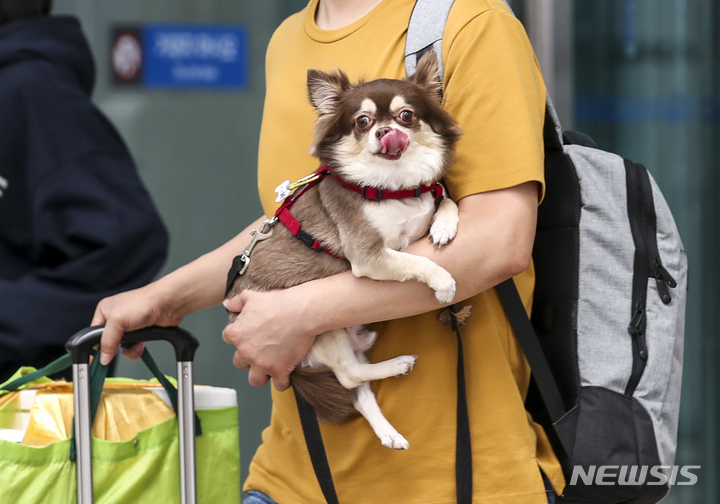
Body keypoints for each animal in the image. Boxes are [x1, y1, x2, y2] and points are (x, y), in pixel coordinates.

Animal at [226, 52, 462, 448]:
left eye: (406, 116)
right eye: (362, 122)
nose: (384, 132)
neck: (393, 187)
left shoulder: (425, 202)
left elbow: (444, 198)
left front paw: (444, 225)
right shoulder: (370, 255)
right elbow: (415, 259)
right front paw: (443, 280)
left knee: (360, 393)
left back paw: (389, 434)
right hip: (321, 328)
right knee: (349, 374)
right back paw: (398, 364)